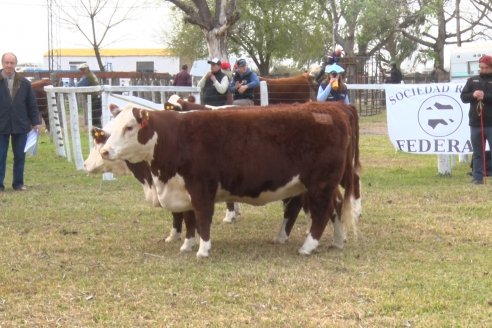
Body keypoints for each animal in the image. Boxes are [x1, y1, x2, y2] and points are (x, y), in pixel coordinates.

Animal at [100, 101, 358, 258]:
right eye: (110, 128)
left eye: (129, 127)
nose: (104, 151)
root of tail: (333, 108)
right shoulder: (183, 190)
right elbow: (189, 219)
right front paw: (187, 245)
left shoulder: (201, 187)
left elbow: (202, 217)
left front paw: (203, 249)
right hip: (311, 184)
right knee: (332, 207)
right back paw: (335, 240)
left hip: (320, 184)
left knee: (322, 212)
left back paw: (308, 246)